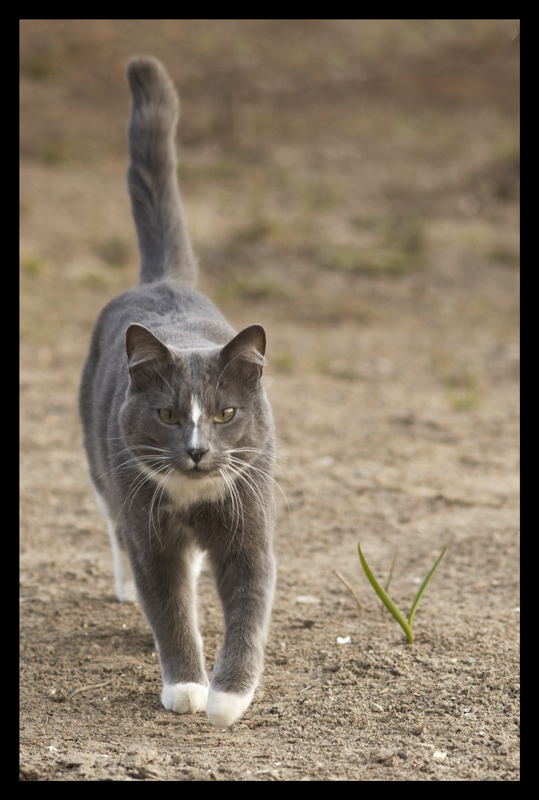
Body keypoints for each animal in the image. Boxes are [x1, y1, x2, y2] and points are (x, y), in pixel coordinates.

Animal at [78, 57, 276, 732]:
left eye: (225, 413)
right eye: (167, 414)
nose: (195, 451)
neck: (193, 499)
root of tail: (162, 279)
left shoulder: (248, 525)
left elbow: (249, 607)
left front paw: (228, 697)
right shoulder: (151, 533)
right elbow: (166, 602)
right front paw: (186, 686)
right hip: (100, 461)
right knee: (114, 522)